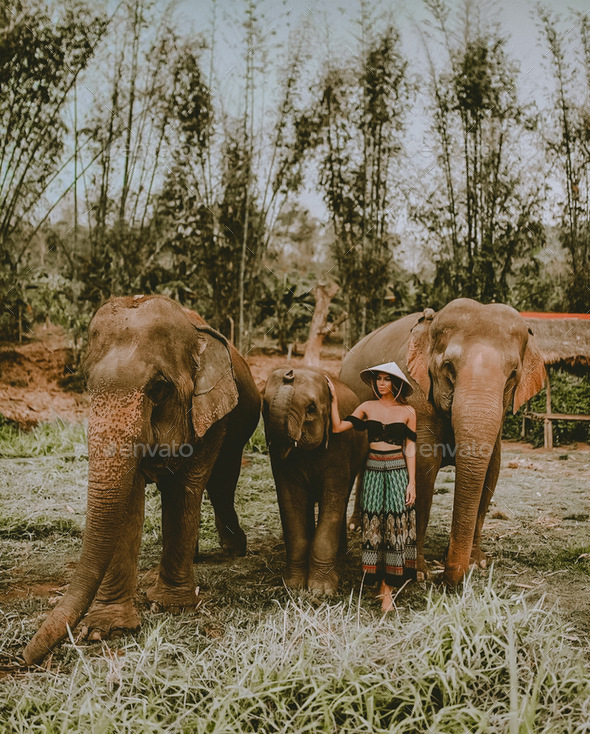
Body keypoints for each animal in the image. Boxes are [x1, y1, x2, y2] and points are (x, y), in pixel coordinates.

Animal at [23, 294, 260, 668]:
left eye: (159, 388)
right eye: (88, 385)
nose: (22, 658)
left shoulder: (212, 414)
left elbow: (184, 491)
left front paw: (172, 606)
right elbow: (129, 501)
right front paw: (104, 629)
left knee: (222, 481)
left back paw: (233, 550)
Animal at [262, 368, 366, 600]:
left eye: (311, 408)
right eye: (264, 406)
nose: (289, 374)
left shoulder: (340, 445)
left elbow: (333, 500)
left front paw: (322, 592)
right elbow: (291, 503)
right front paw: (294, 586)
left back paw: (341, 557)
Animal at [340, 298, 548, 588]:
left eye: (513, 374)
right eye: (449, 366)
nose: (448, 580)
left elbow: (491, 470)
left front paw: (477, 562)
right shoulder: (415, 395)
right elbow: (423, 467)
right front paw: (419, 573)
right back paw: (354, 529)